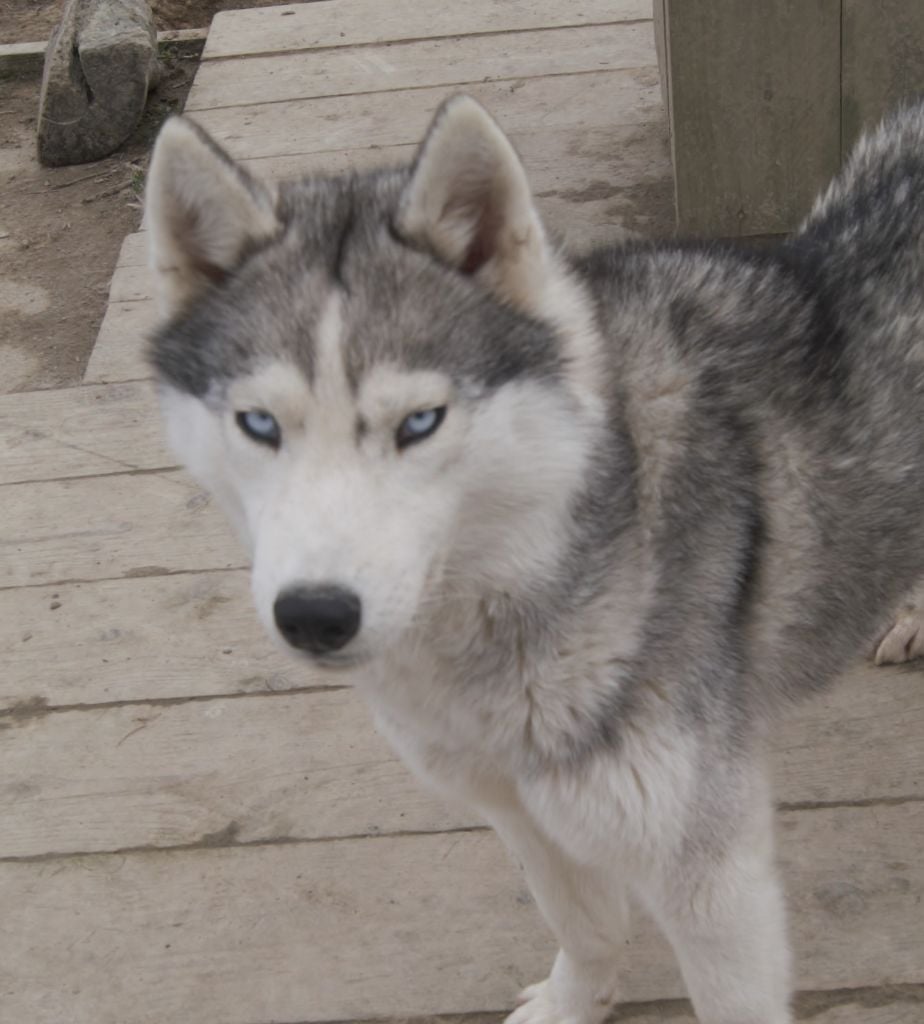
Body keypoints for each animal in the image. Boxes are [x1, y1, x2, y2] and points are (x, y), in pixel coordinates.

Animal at [144, 96, 924, 1024]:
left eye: (420, 423)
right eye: (259, 424)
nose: (315, 613)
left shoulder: (707, 872)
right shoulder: (519, 805)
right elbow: (584, 927)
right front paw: (573, 1003)